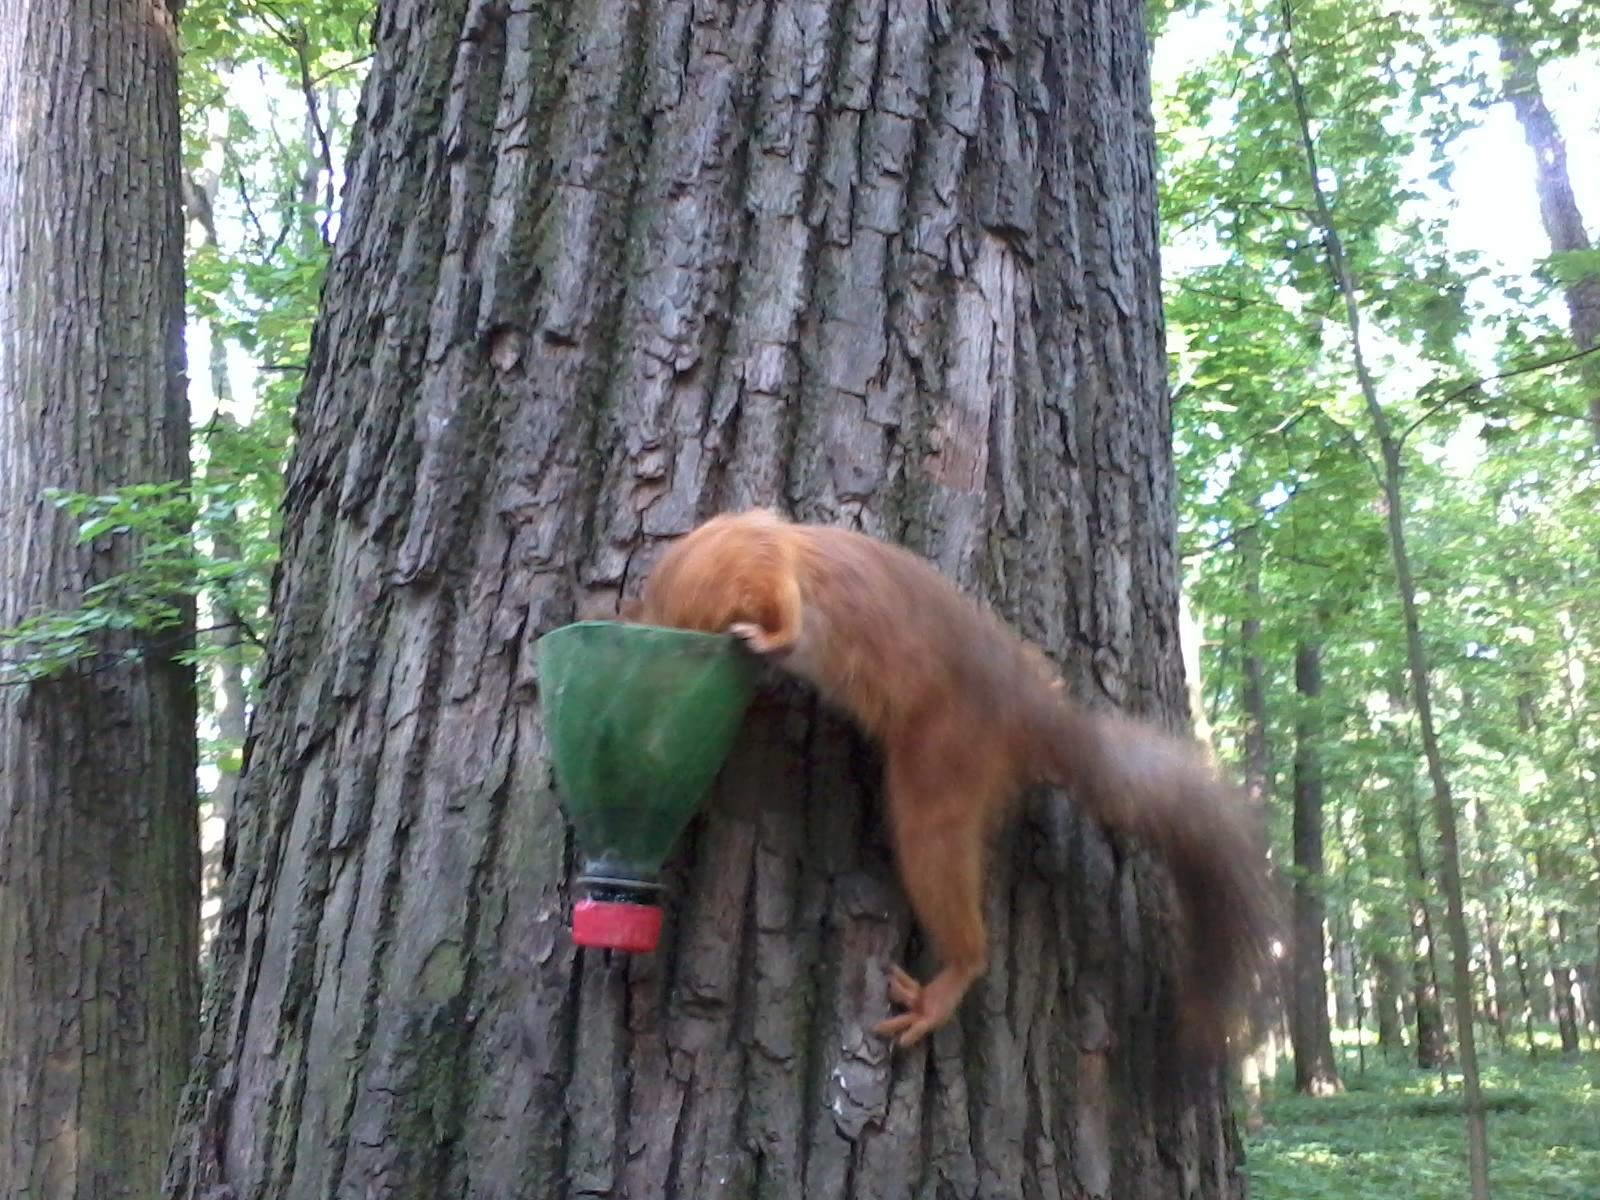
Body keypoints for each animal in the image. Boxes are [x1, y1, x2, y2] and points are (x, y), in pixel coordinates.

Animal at [633, 508, 1273, 1049]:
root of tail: (1031, 718)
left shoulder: (754, 556)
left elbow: (782, 604)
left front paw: (769, 638)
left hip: (942, 775)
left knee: (953, 895)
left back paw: (944, 987)